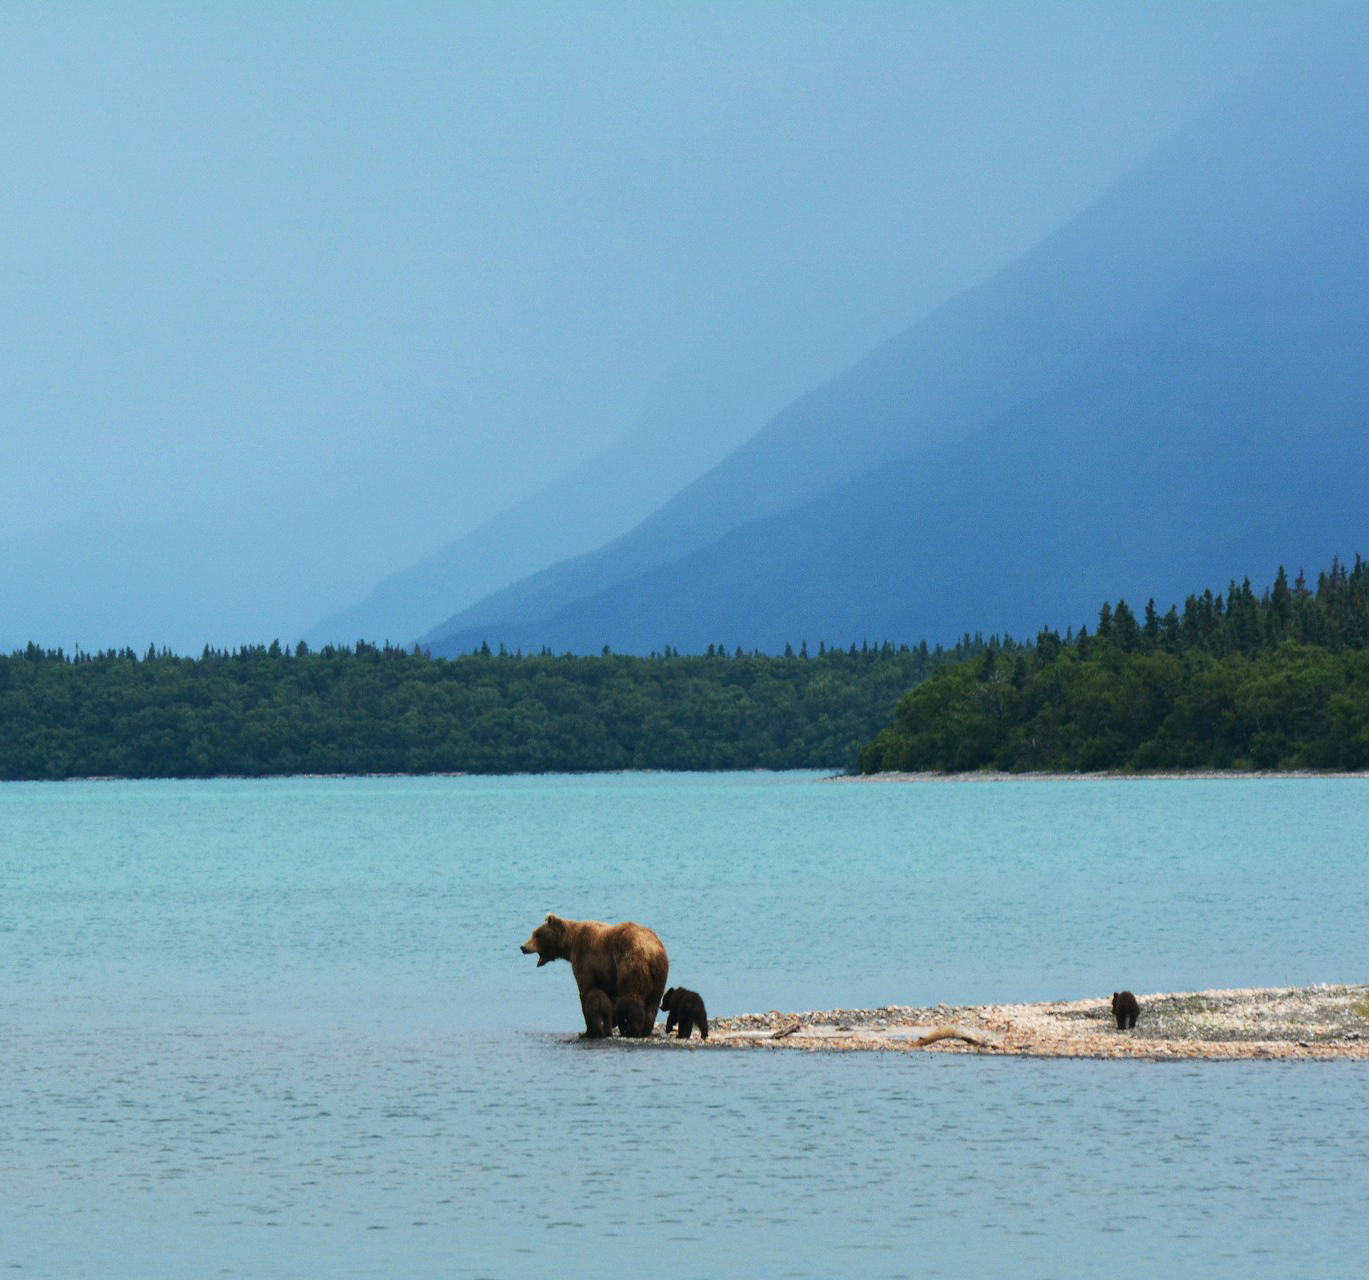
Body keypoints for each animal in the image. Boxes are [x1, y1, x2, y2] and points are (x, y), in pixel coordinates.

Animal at [520, 913, 668, 1036]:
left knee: (632, 997)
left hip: (630, 964)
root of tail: (652, 953)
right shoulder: (605, 973)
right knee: (652, 1005)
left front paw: (589, 1029)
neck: (570, 943)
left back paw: (632, 1030)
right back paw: (645, 1030)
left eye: (536, 934)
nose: (523, 947)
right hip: (659, 976)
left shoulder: (584, 959)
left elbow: (586, 990)